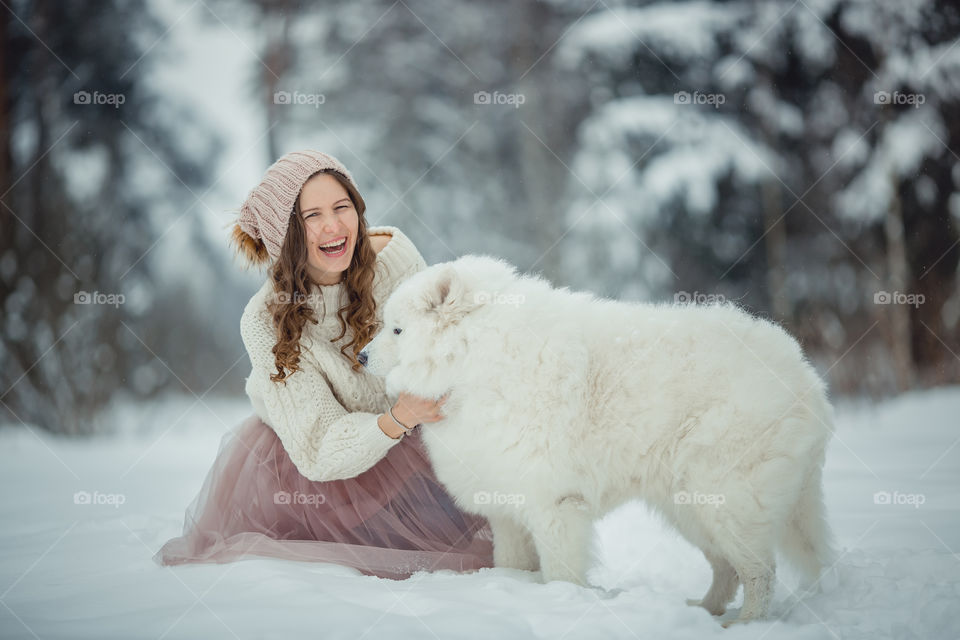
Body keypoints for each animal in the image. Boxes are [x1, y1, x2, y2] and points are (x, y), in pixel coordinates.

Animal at [360, 255, 832, 624]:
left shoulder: (555, 504)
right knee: (728, 569)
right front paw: (513, 589)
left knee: (760, 572)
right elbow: (511, 564)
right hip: (691, 506)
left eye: (397, 330)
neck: (476, 358)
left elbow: (561, 572)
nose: (362, 356)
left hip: (725, 497)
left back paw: (747, 624)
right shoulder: (506, 506)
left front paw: (560, 603)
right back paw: (705, 612)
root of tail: (804, 376)